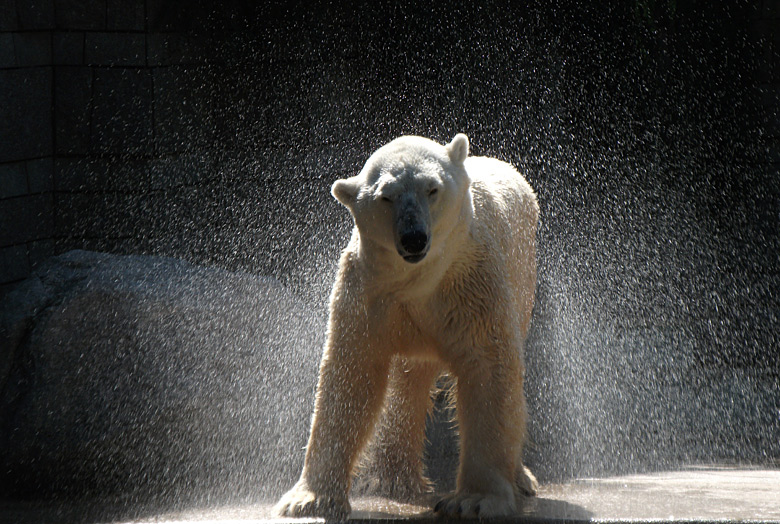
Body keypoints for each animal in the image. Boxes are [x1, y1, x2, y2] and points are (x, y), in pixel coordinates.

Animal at [274, 133, 536, 516]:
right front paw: (308, 500)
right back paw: (393, 480)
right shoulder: (368, 292)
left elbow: (489, 372)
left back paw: (520, 478)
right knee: (407, 380)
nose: (414, 238)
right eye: (385, 196)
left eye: (433, 188)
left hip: (521, 276)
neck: (420, 279)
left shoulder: (472, 283)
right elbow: (351, 377)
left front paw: (473, 500)